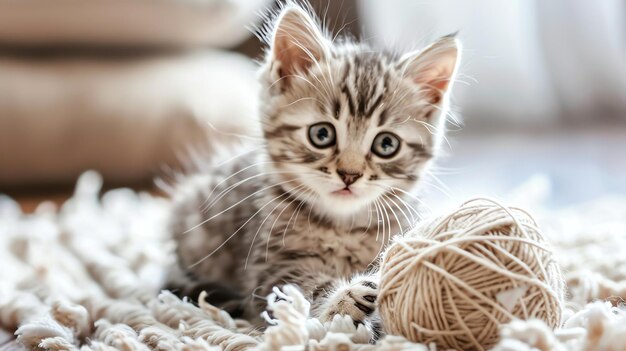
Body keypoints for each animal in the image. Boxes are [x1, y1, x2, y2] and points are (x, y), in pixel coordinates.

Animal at [166, 2, 458, 336]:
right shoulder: (270, 268)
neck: (344, 226)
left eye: (386, 144)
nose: (349, 175)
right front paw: (347, 301)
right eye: (321, 134)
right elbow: (300, 293)